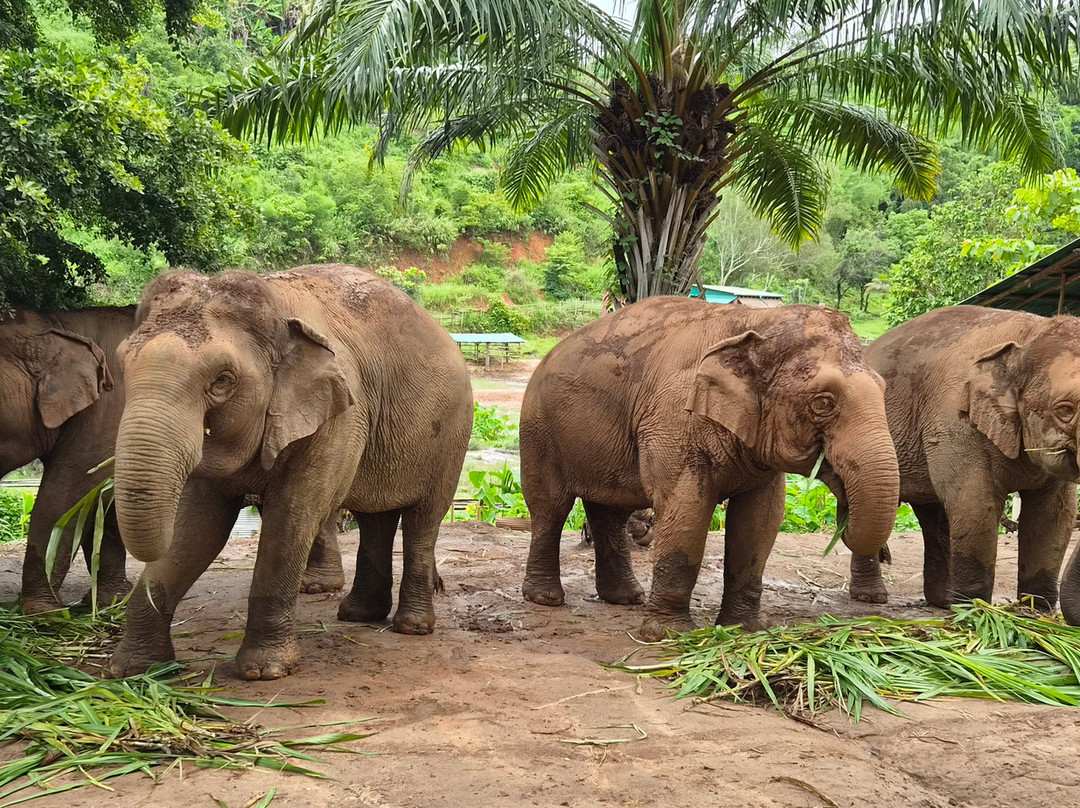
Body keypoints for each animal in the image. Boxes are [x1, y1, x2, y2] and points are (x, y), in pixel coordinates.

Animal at [108, 265, 472, 680]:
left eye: (222, 380)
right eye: (122, 367)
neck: (276, 306)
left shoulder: (343, 415)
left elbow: (293, 516)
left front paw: (264, 672)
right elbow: (199, 526)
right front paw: (132, 669)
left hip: (451, 437)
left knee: (423, 520)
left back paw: (412, 627)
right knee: (373, 518)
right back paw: (358, 615)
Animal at [520, 297, 900, 639]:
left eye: (884, 390)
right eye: (823, 402)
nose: (844, 506)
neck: (757, 321)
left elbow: (761, 520)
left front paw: (745, 630)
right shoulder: (673, 420)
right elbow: (687, 508)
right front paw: (669, 635)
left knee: (609, 512)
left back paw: (627, 599)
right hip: (538, 429)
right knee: (551, 507)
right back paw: (545, 598)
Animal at [848, 306, 1080, 620]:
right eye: (1064, 409)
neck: (1030, 334)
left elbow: (1053, 515)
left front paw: (1035, 613)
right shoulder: (955, 421)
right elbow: (975, 504)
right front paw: (976, 612)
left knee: (936, 515)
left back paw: (944, 601)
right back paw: (872, 598)